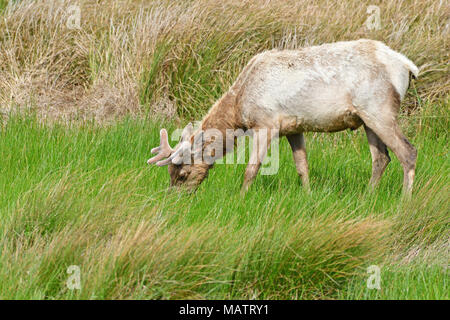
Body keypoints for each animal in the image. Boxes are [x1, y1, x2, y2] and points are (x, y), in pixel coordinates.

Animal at [148, 40, 418, 195]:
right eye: (170, 174)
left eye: (182, 174)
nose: (172, 198)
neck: (239, 108)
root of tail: (408, 66)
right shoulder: (294, 127)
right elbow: (302, 167)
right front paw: (308, 196)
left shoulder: (266, 123)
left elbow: (252, 168)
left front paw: (241, 198)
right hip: (367, 118)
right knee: (381, 158)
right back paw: (368, 196)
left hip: (379, 109)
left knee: (408, 152)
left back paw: (404, 201)